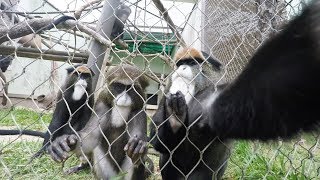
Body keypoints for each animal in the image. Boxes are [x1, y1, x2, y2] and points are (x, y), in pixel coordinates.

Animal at [150, 47, 232, 180]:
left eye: (193, 63)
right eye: (181, 63)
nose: (182, 68)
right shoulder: (166, 97)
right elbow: (157, 140)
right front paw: (174, 120)